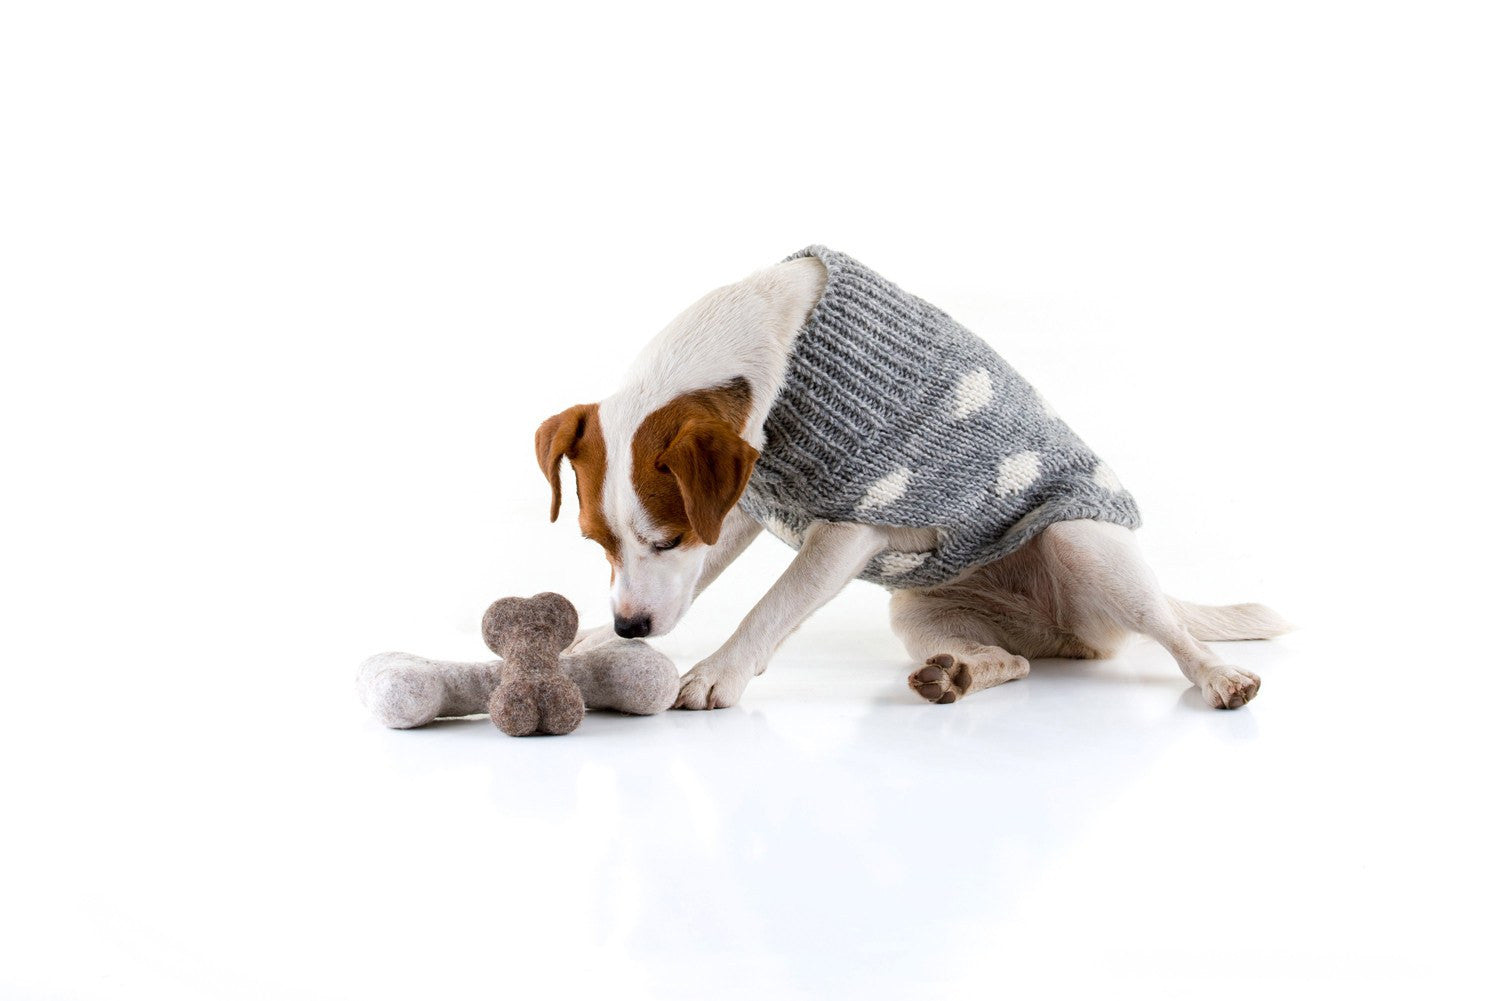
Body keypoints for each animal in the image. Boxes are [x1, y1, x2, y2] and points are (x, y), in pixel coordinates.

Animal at [534, 246, 1284, 708]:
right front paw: (597, 637)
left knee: (1172, 630)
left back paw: (1219, 675)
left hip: (1082, 542)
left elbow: (771, 605)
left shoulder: (855, 524)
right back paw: (960, 674)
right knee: (1015, 662)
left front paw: (717, 673)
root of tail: (1074, 635)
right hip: (921, 609)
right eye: (596, 541)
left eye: (664, 540)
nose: (630, 627)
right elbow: (708, 572)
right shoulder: (741, 506)